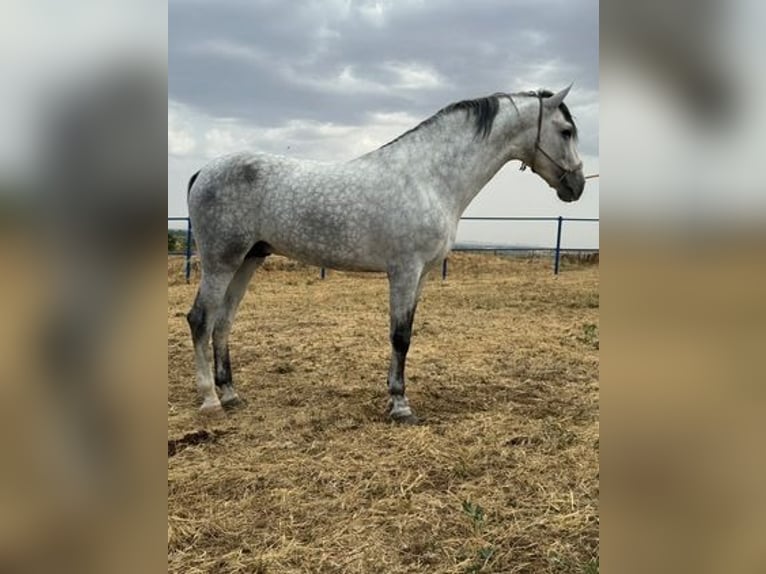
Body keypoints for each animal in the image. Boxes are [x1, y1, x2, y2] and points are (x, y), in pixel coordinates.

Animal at [186, 88, 588, 426]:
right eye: (566, 131)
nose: (578, 186)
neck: (429, 178)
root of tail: (203, 171)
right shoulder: (405, 271)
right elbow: (400, 336)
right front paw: (400, 405)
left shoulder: (421, 274)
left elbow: (406, 333)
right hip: (221, 262)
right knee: (201, 319)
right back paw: (210, 400)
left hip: (248, 260)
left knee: (223, 321)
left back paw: (231, 394)